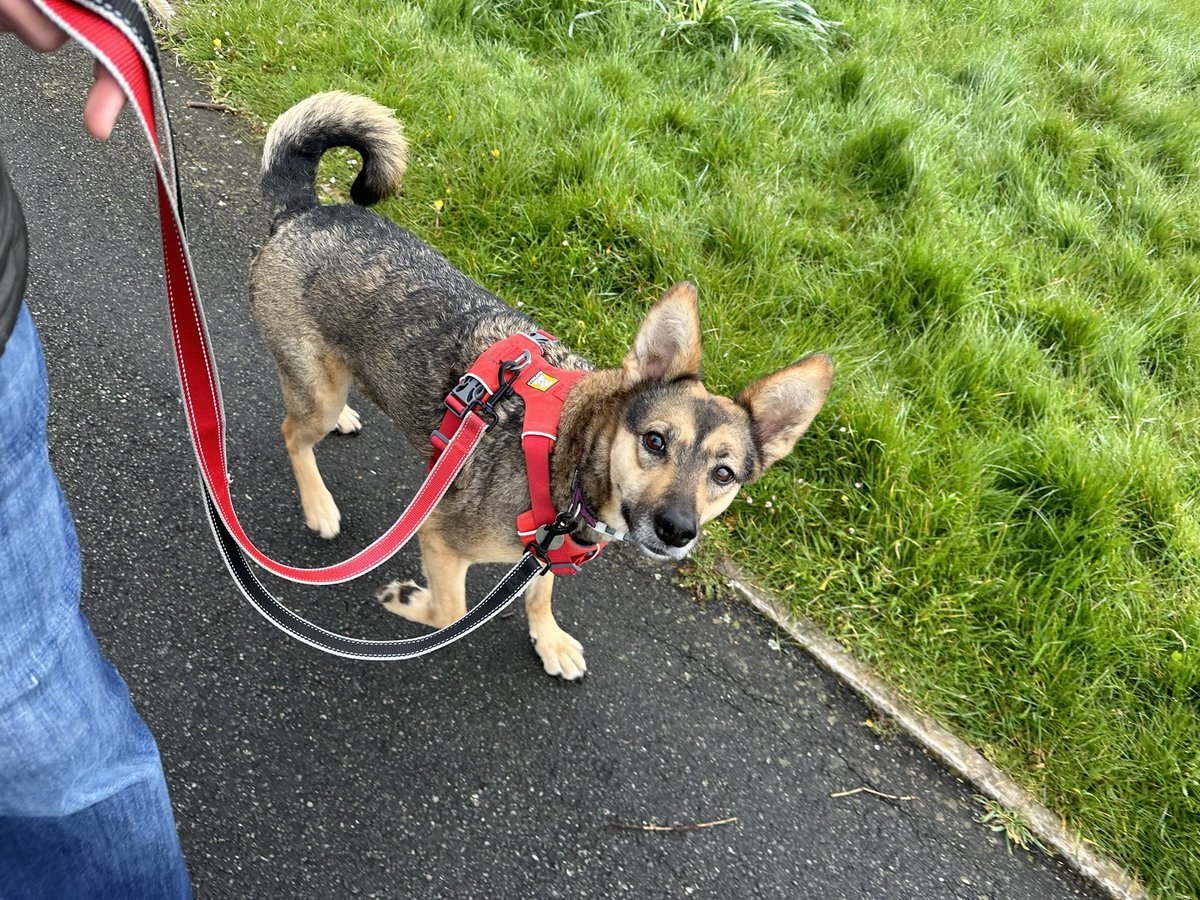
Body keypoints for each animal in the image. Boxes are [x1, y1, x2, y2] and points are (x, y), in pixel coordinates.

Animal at [250, 93, 835, 681]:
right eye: (655, 442)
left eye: (724, 474)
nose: (677, 529)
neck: (571, 453)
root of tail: (306, 211)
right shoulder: (440, 537)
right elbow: (450, 610)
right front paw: (409, 601)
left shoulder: (543, 550)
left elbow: (540, 590)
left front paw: (547, 637)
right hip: (316, 394)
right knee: (291, 432)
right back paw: (319, 504)